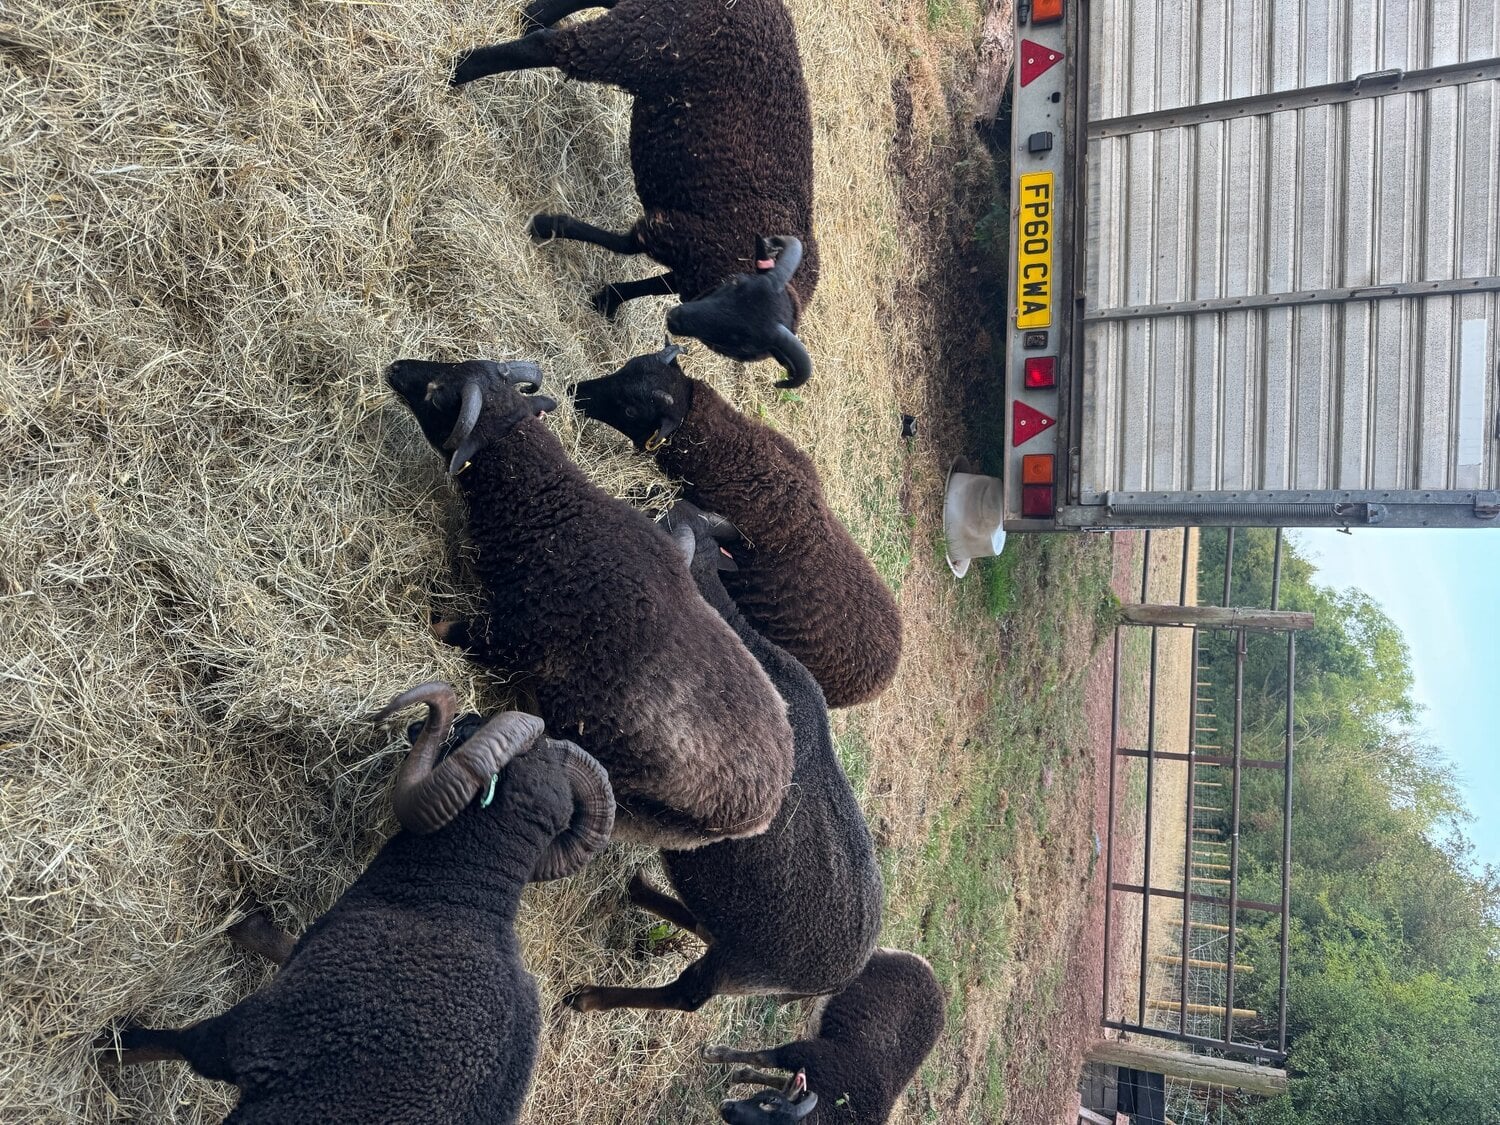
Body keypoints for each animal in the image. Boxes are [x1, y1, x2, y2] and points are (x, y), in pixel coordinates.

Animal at [98, 682, 615, 1125]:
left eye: (465, 733)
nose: (419, 726)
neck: (456, 897)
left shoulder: (260, 1034)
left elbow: (181, 1044)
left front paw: (113, 1045)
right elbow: (286, 943)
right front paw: (252, 922)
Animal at [385, 357, 794, 849]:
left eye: (435, 392)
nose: (395, 367)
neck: (553, 519)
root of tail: (765, 808)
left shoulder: (507, 638)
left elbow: (445, 628)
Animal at [451, 0, 818, 388]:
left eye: (735, 342)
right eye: (735, 286)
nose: (675, 320)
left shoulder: (692, 264)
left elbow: (653, 283)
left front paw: (608, 300)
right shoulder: (678, 231)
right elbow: (624, 245)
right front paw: (548, 225)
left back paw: (529, 19)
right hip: (644, 42)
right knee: (551, 46)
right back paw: (459, 70)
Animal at [560, 504, 881, 1015]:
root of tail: (834, 981)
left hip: (744, 968)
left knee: (688, 993)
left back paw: (592, 997)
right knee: (703, 927)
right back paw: (643, 892)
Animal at [706, 949, 946, 1124]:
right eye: (768, 1102)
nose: (725, 1107)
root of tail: (928, 969)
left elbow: (784, 1082)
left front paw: (738, 1075)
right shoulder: (811, 1053)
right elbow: (762, 1058)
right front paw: (713, 1054)